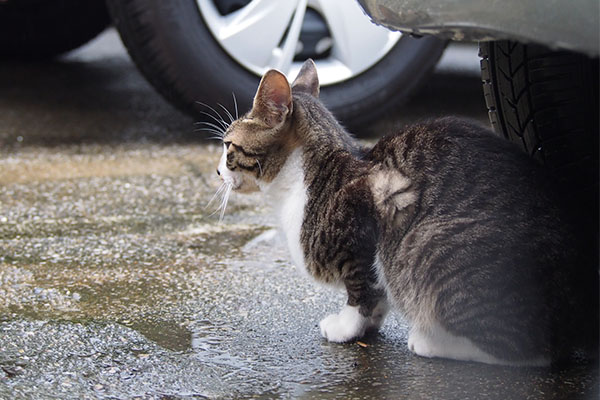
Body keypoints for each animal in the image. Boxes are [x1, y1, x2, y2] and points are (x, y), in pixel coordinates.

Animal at [214, 58, 596, 366]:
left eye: (228, 146)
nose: (217, 171)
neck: (307, 177)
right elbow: (378, 297)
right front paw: (369, 325)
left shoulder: (365, 232)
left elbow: (361, 291)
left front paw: (346, 326)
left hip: (427, 243)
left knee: (531, 353)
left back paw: (432, 342)